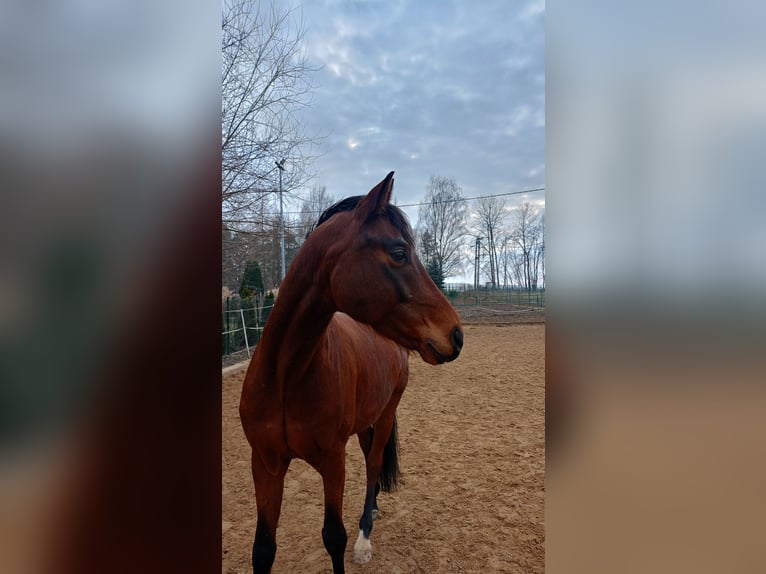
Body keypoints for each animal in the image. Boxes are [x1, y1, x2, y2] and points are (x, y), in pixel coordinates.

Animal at [243, 173, 464, 572]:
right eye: (399, 253)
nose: (456, 334)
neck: (286, 377)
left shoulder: (332, 460)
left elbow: (334, 537)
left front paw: (355, 541)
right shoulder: (265, 464)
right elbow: (263, 549)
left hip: (387, 412)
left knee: (374, 463)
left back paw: (365, 535)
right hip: (366, 420)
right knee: (368, 455)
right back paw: (372, 509)